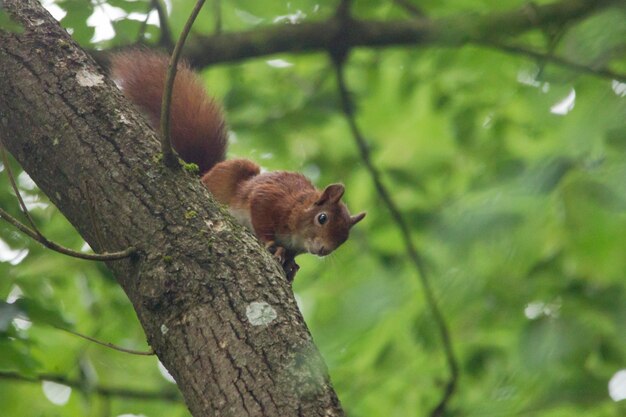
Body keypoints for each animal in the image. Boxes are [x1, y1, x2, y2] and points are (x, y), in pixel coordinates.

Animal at [111, 51, 366, 280]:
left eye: (344, 237)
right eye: (322, 218)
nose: (323, 250)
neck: (298, 209)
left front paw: (291, 264)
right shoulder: (270, 197)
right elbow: (262, 218)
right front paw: (274, 245)